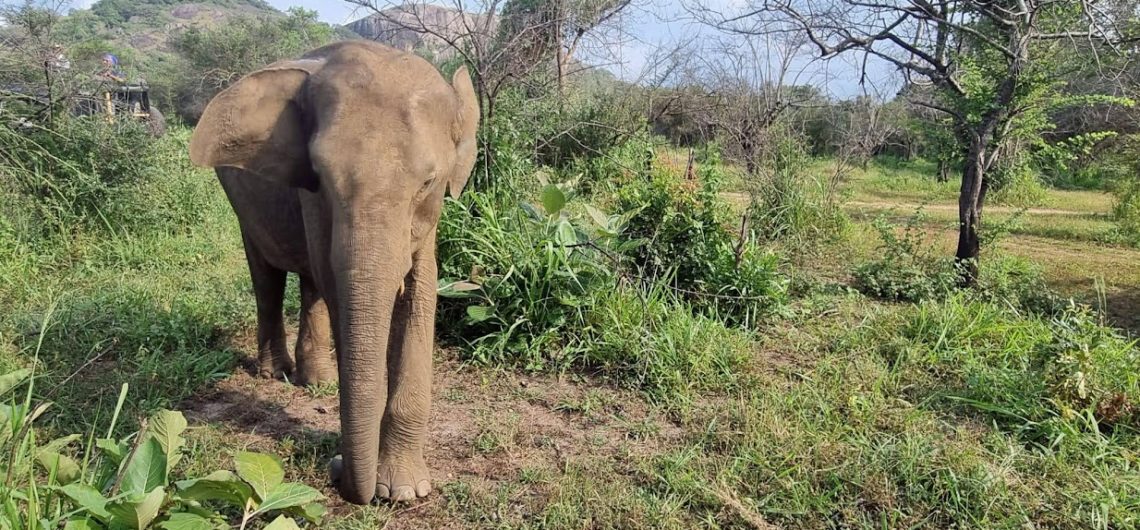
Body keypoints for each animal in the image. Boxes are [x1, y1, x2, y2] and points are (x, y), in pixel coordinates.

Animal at [190, 41, 481, 503]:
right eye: (321, 177)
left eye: (428, 182)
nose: (337, 467)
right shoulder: (309, 196)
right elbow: (336, 283)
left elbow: (422, 292)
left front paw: (403, 491)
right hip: (240, 199)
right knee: (266, 273)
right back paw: (277, 372)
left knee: (308, 283)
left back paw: (318, 382)